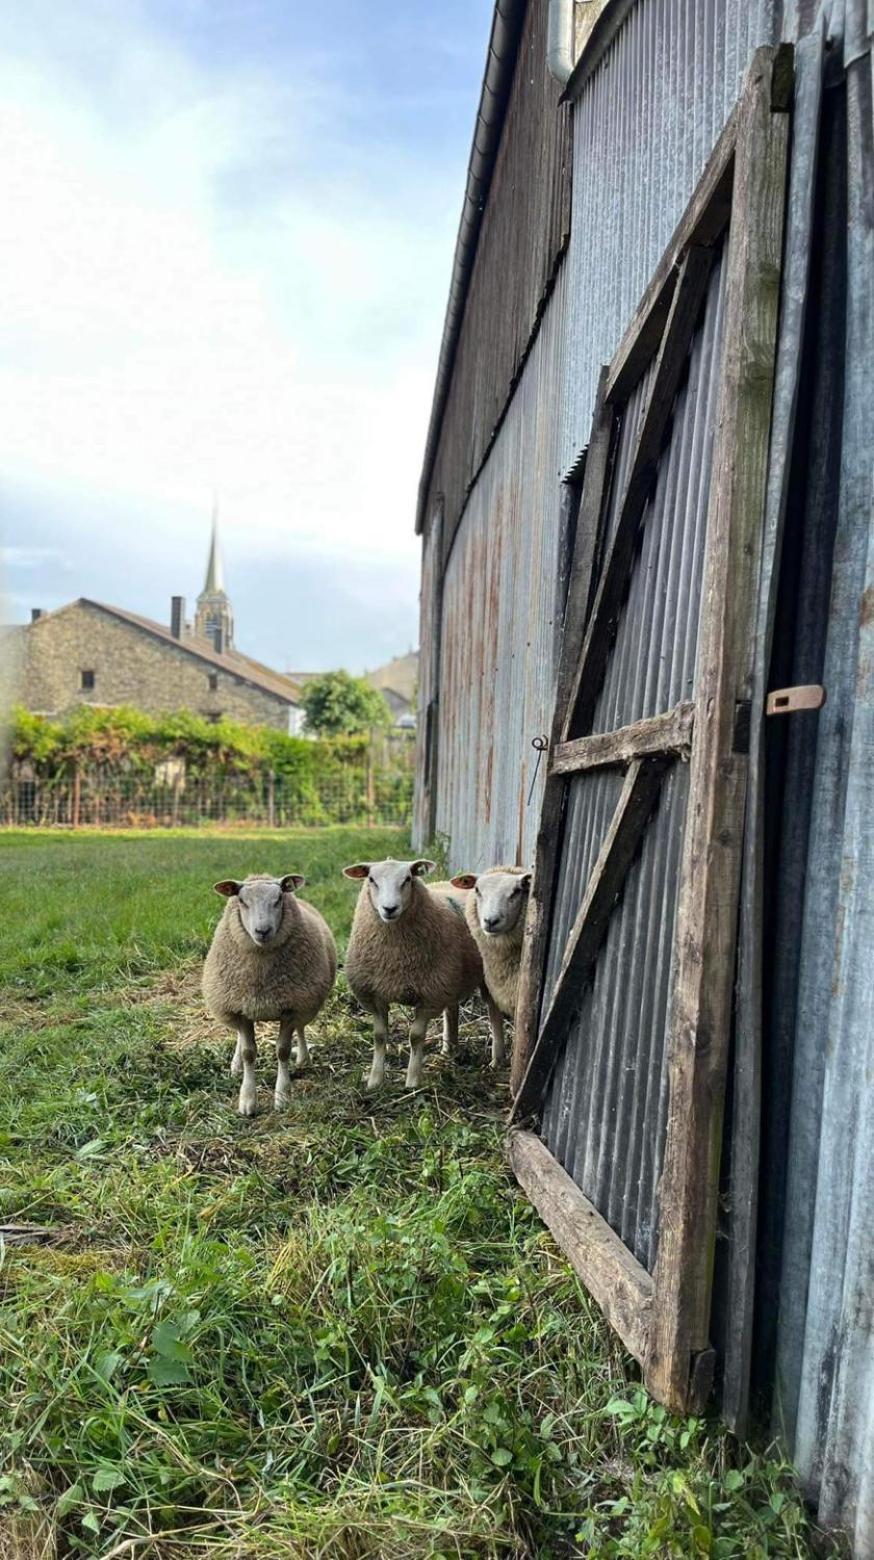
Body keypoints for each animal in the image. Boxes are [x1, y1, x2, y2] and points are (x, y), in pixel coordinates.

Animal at [202, 873, 335, 1116]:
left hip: (305, 1001)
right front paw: (247, 1100)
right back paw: (235, 1065)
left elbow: (283, 1051)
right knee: (238, 1038)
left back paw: (303, 1058)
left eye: (278, 899)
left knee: (301, 1029)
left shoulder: (292, 1007)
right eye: (242, 901)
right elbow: (248, 1053)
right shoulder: (241, 1009)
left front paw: (282, 1096)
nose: (262, 931)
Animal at [341, 861, 493, 1092]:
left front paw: (412, 1082)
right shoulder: (375, 995)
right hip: (449, 978)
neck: (394, 959)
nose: (389, 909)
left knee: (494, 1013)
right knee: (452, 1009)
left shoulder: (430, 996)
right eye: (371, 880)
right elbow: (379, 1037)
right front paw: (375, 1081)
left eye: (408, 879)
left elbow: (416, 1036)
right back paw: (449, 1050)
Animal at [449, 867, 533, 1060]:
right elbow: (494, 1016)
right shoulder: (493, 983)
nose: (490, 921)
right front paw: (497, 1059)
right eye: (477, 890)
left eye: (517, 890)